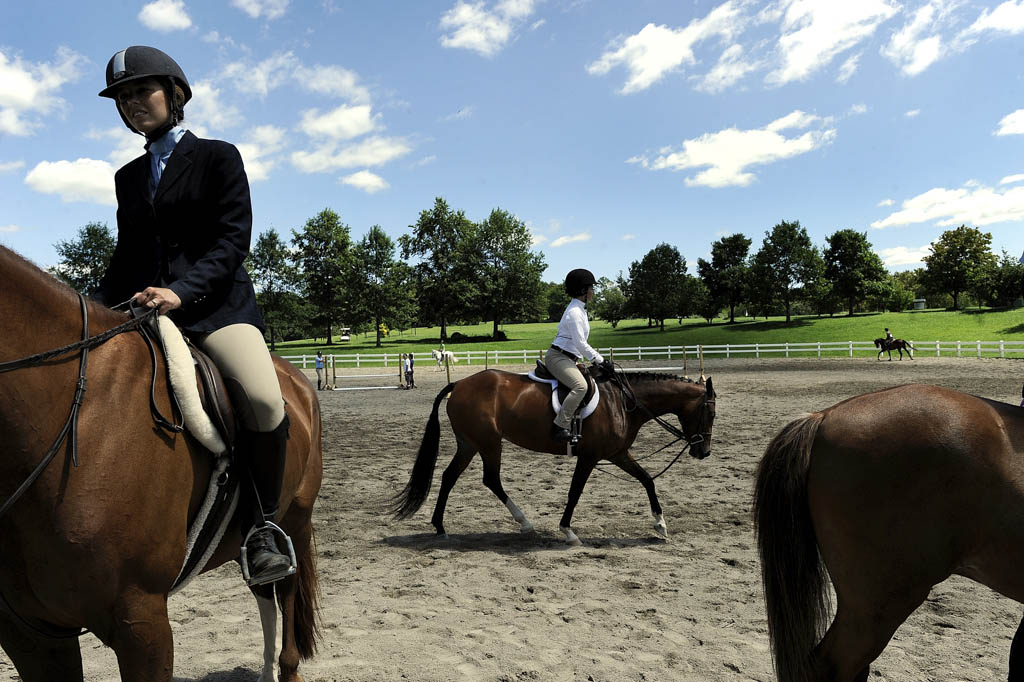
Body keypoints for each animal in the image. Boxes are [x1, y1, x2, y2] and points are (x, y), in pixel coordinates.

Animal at [0, 245, 319, 679]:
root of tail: (296, 379)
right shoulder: (29, 631)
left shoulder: (141, 618)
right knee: (263, 593)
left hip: (295, 519)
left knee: (286, 589)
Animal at [387, 364, 716, 544]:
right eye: (710, 414)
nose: (704, 452)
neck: (623, 402)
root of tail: (459, 384)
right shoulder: (590, 456)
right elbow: (575, 492)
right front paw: (568, 531)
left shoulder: (618, 453)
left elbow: (647, 480)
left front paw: (661, 525)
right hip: (489, 443)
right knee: (490, 479)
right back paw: (524, 522)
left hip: (470, 444)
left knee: (449, 477)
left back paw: (441, 526)